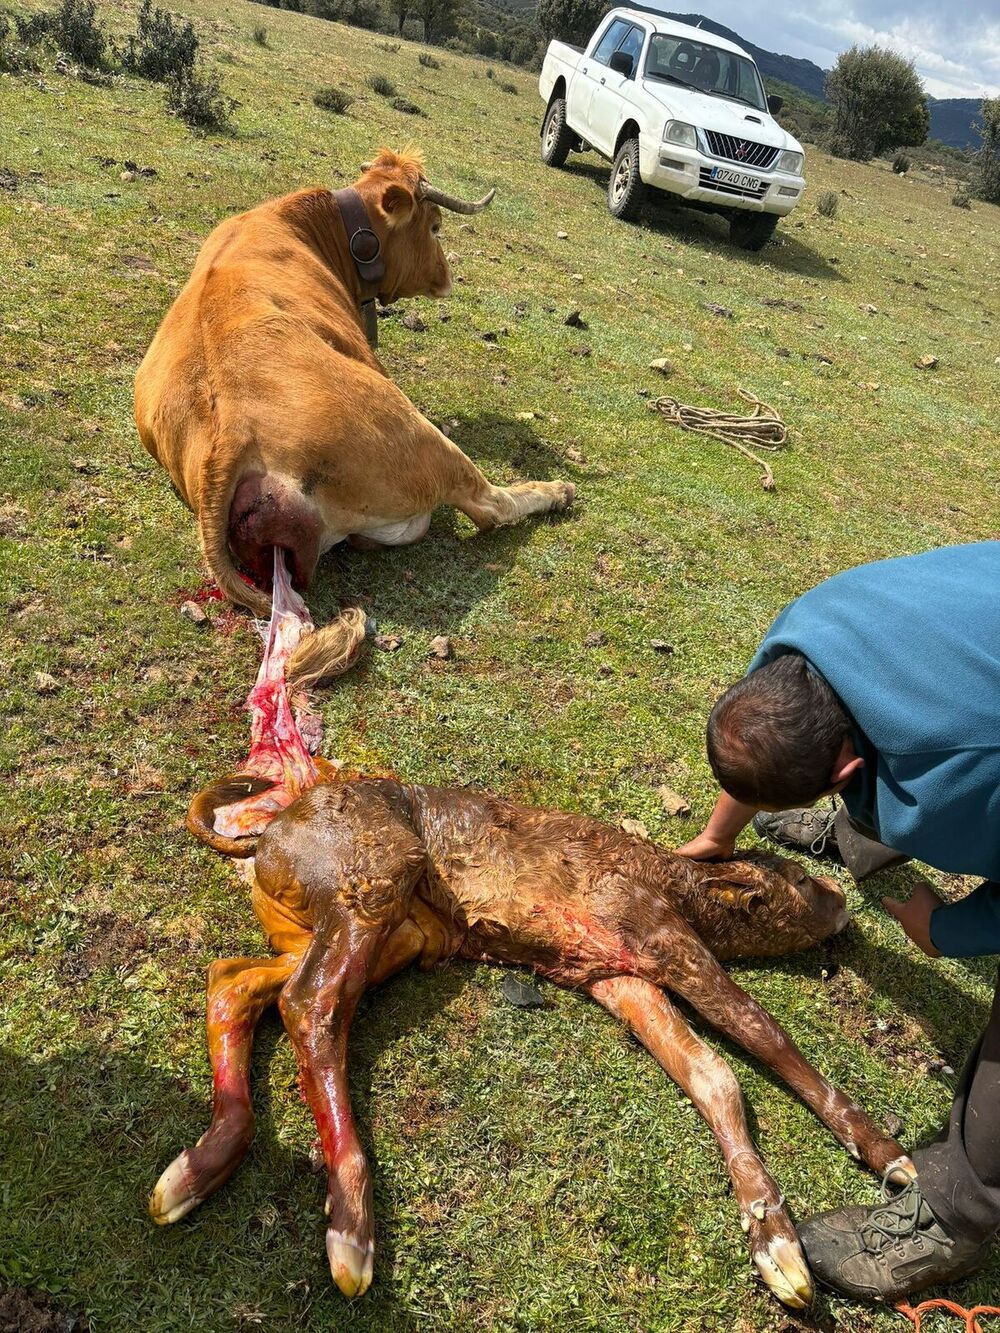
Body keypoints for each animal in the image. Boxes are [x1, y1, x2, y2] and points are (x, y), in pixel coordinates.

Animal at [136, 151, 576, 682]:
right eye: (435, 225)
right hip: (418, 437)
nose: (447, 278)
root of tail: (229, 435)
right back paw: (556, 492)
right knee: (490, 507)